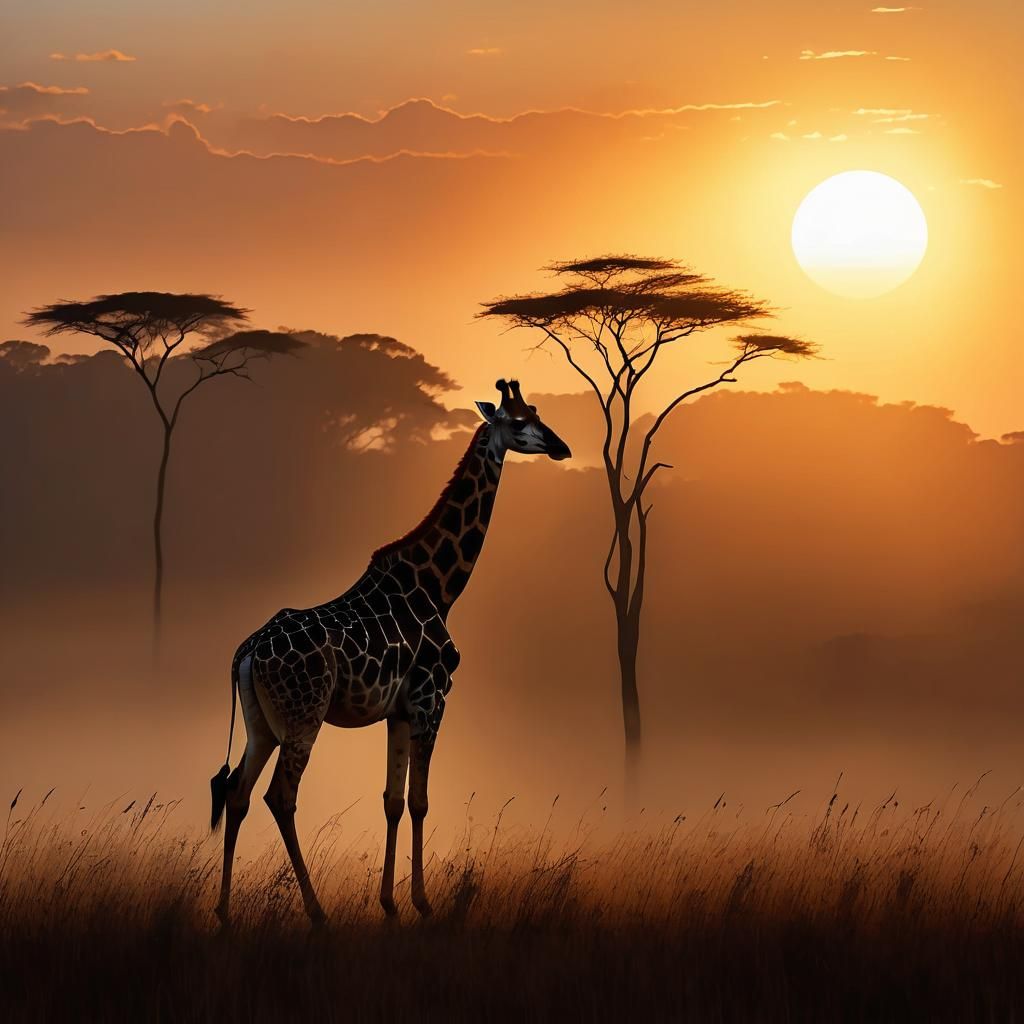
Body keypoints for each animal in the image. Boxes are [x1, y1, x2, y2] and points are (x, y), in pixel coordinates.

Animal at [210, 379, 571, 926]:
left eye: (536, 411)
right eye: (517, 422)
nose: (560, 447)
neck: (440, 587)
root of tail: (246, 653)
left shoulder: (398, 711)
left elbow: (393, 800)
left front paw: (390, 903)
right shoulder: (431, 699)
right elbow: (420, 800)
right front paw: (422, 903)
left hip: (262, 725)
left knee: (237, 793)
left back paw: (225, 913)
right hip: (303, 718)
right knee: (279, 796)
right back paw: (317, 913)